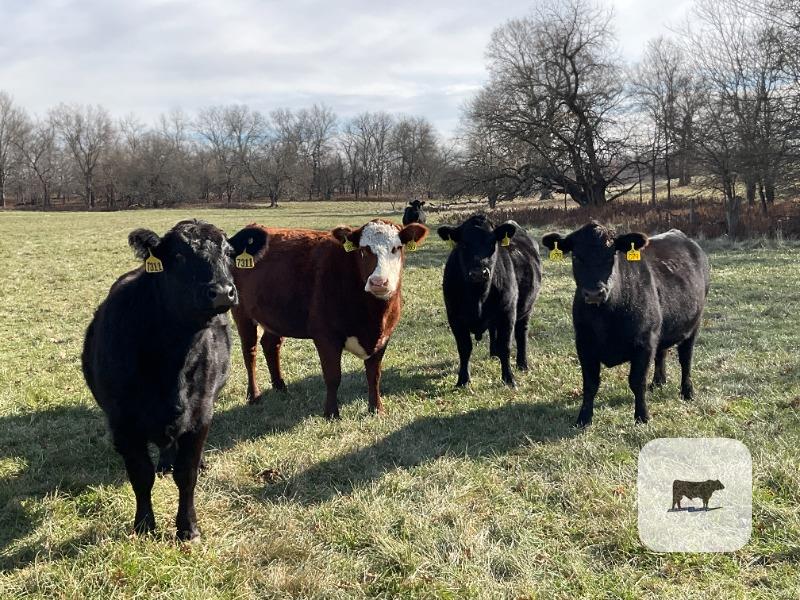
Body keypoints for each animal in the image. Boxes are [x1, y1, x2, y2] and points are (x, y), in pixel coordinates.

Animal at [81, 219, 267, 540]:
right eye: (179, 256)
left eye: (229, 253)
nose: (222, 292)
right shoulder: (122, 422)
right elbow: (140, 475)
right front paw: (144, 524)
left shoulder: (201, 414)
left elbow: (186, 473)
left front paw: (188, 528)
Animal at [231, 219, 429, 418]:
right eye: (363, 249)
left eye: (397, 248)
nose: (378, 282)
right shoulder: (326, 336)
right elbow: (333, 376)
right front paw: (331, 413)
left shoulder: (384, 337)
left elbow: (374, 375)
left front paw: (376, 408)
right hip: (242, 314)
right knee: (250, 352)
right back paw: (254, 396)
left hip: (275, 317)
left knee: (271, 345)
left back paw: (280, 387)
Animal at [437, 215, 542, 388]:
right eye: (463, 244)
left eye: (492, 242)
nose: (479, 273)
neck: (478, 297)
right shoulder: (454, 317)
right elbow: (464, 348)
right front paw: (463, 380)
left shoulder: (507, 313)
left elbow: (506, 346)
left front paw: (509, 379)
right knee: (494, 332)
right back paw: (494, 354)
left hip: (526, 310)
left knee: (522, 334)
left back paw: (522, 364)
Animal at [541, 223, 710, 426]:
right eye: (576, 256)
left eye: (611, 255)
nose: (594, 293)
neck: (605, 319)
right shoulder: (584, 344)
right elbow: (590, 384)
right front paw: (584, 418)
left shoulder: (644, 343)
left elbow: (637, 382)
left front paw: (642, 416)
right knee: (661, 353)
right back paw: (658, 382)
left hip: (693, 325)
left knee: (686, 360)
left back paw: (687, 392)